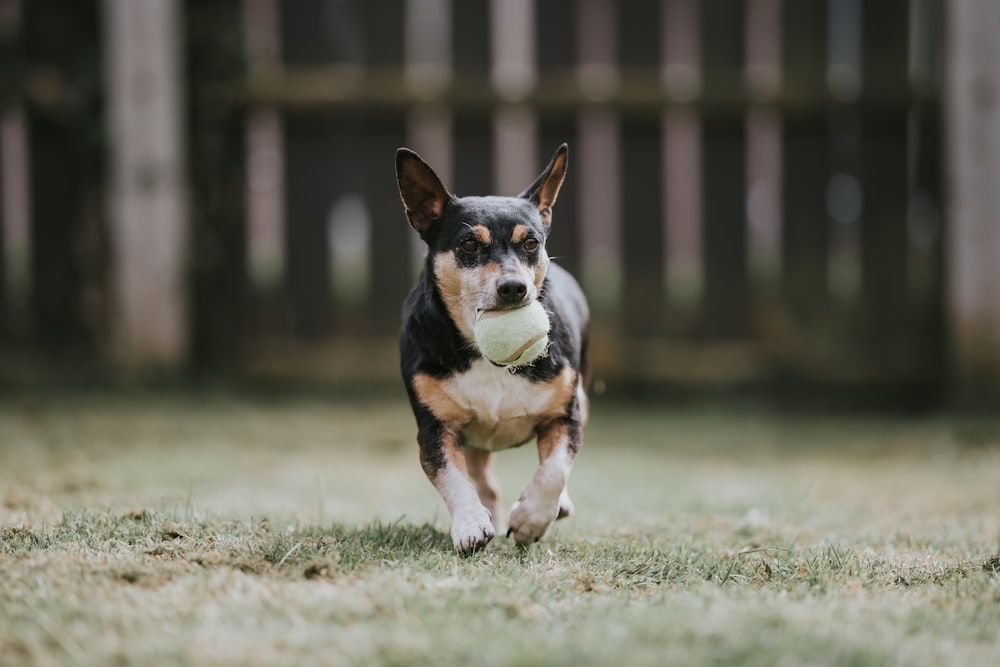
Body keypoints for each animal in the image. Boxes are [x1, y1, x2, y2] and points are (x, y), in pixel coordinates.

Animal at [396, 145, 588, 552]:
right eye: (469, 244)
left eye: (531, 243)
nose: (514, 287)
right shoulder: (435, 430)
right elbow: (453, 479)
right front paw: (470, 524)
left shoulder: (565, 415)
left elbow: (554, 470)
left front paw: (531, 520)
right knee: (484, 480)